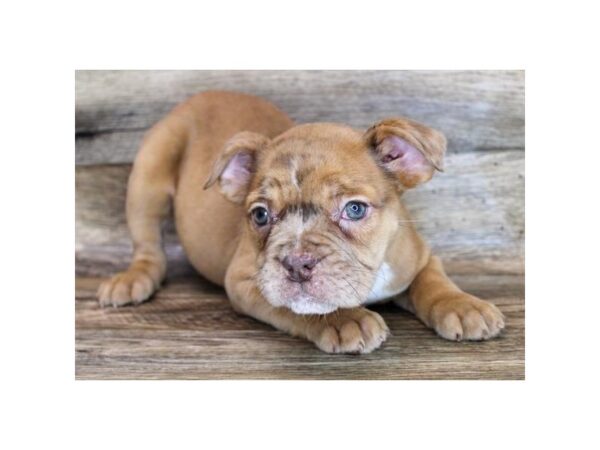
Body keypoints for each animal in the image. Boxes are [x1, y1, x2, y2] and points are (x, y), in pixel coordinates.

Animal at [96, 89, 504, 354]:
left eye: (355, 210)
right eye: (260, 214)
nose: (296, 263)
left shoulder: (418, 256)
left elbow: (433, 280)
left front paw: (463, 306)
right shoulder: (246, 281)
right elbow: (294, 308)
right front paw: (343, 319)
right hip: (147, 177)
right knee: (148, 245)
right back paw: (133, 280)